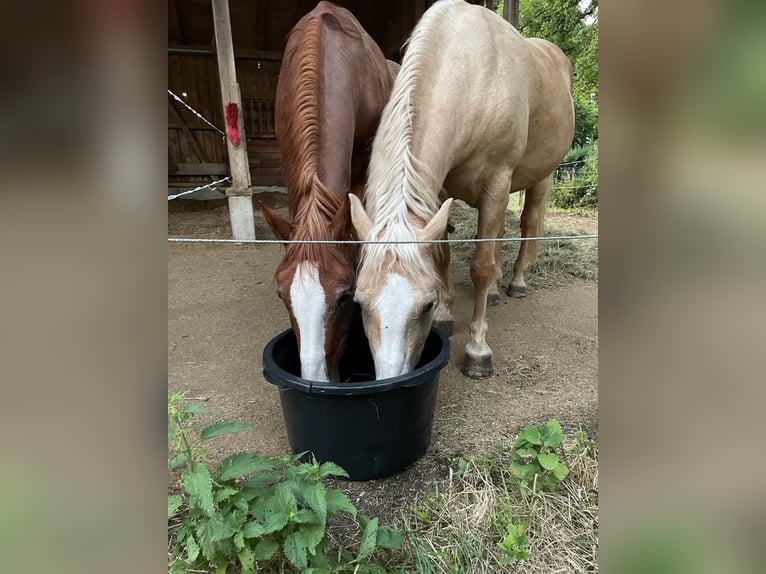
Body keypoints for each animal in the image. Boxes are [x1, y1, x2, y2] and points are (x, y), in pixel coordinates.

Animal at [352, 2, 572, 384]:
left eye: (424, 304)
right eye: (360, 303)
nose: (392, 378)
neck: (471, 74)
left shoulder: (497, 184)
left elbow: (481, 266)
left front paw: (477, 350)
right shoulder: (439, 191)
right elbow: (443, 256)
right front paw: (445, 316)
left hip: (539, 178)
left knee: (527, 226)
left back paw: (516, 283)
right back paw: (496, 292)